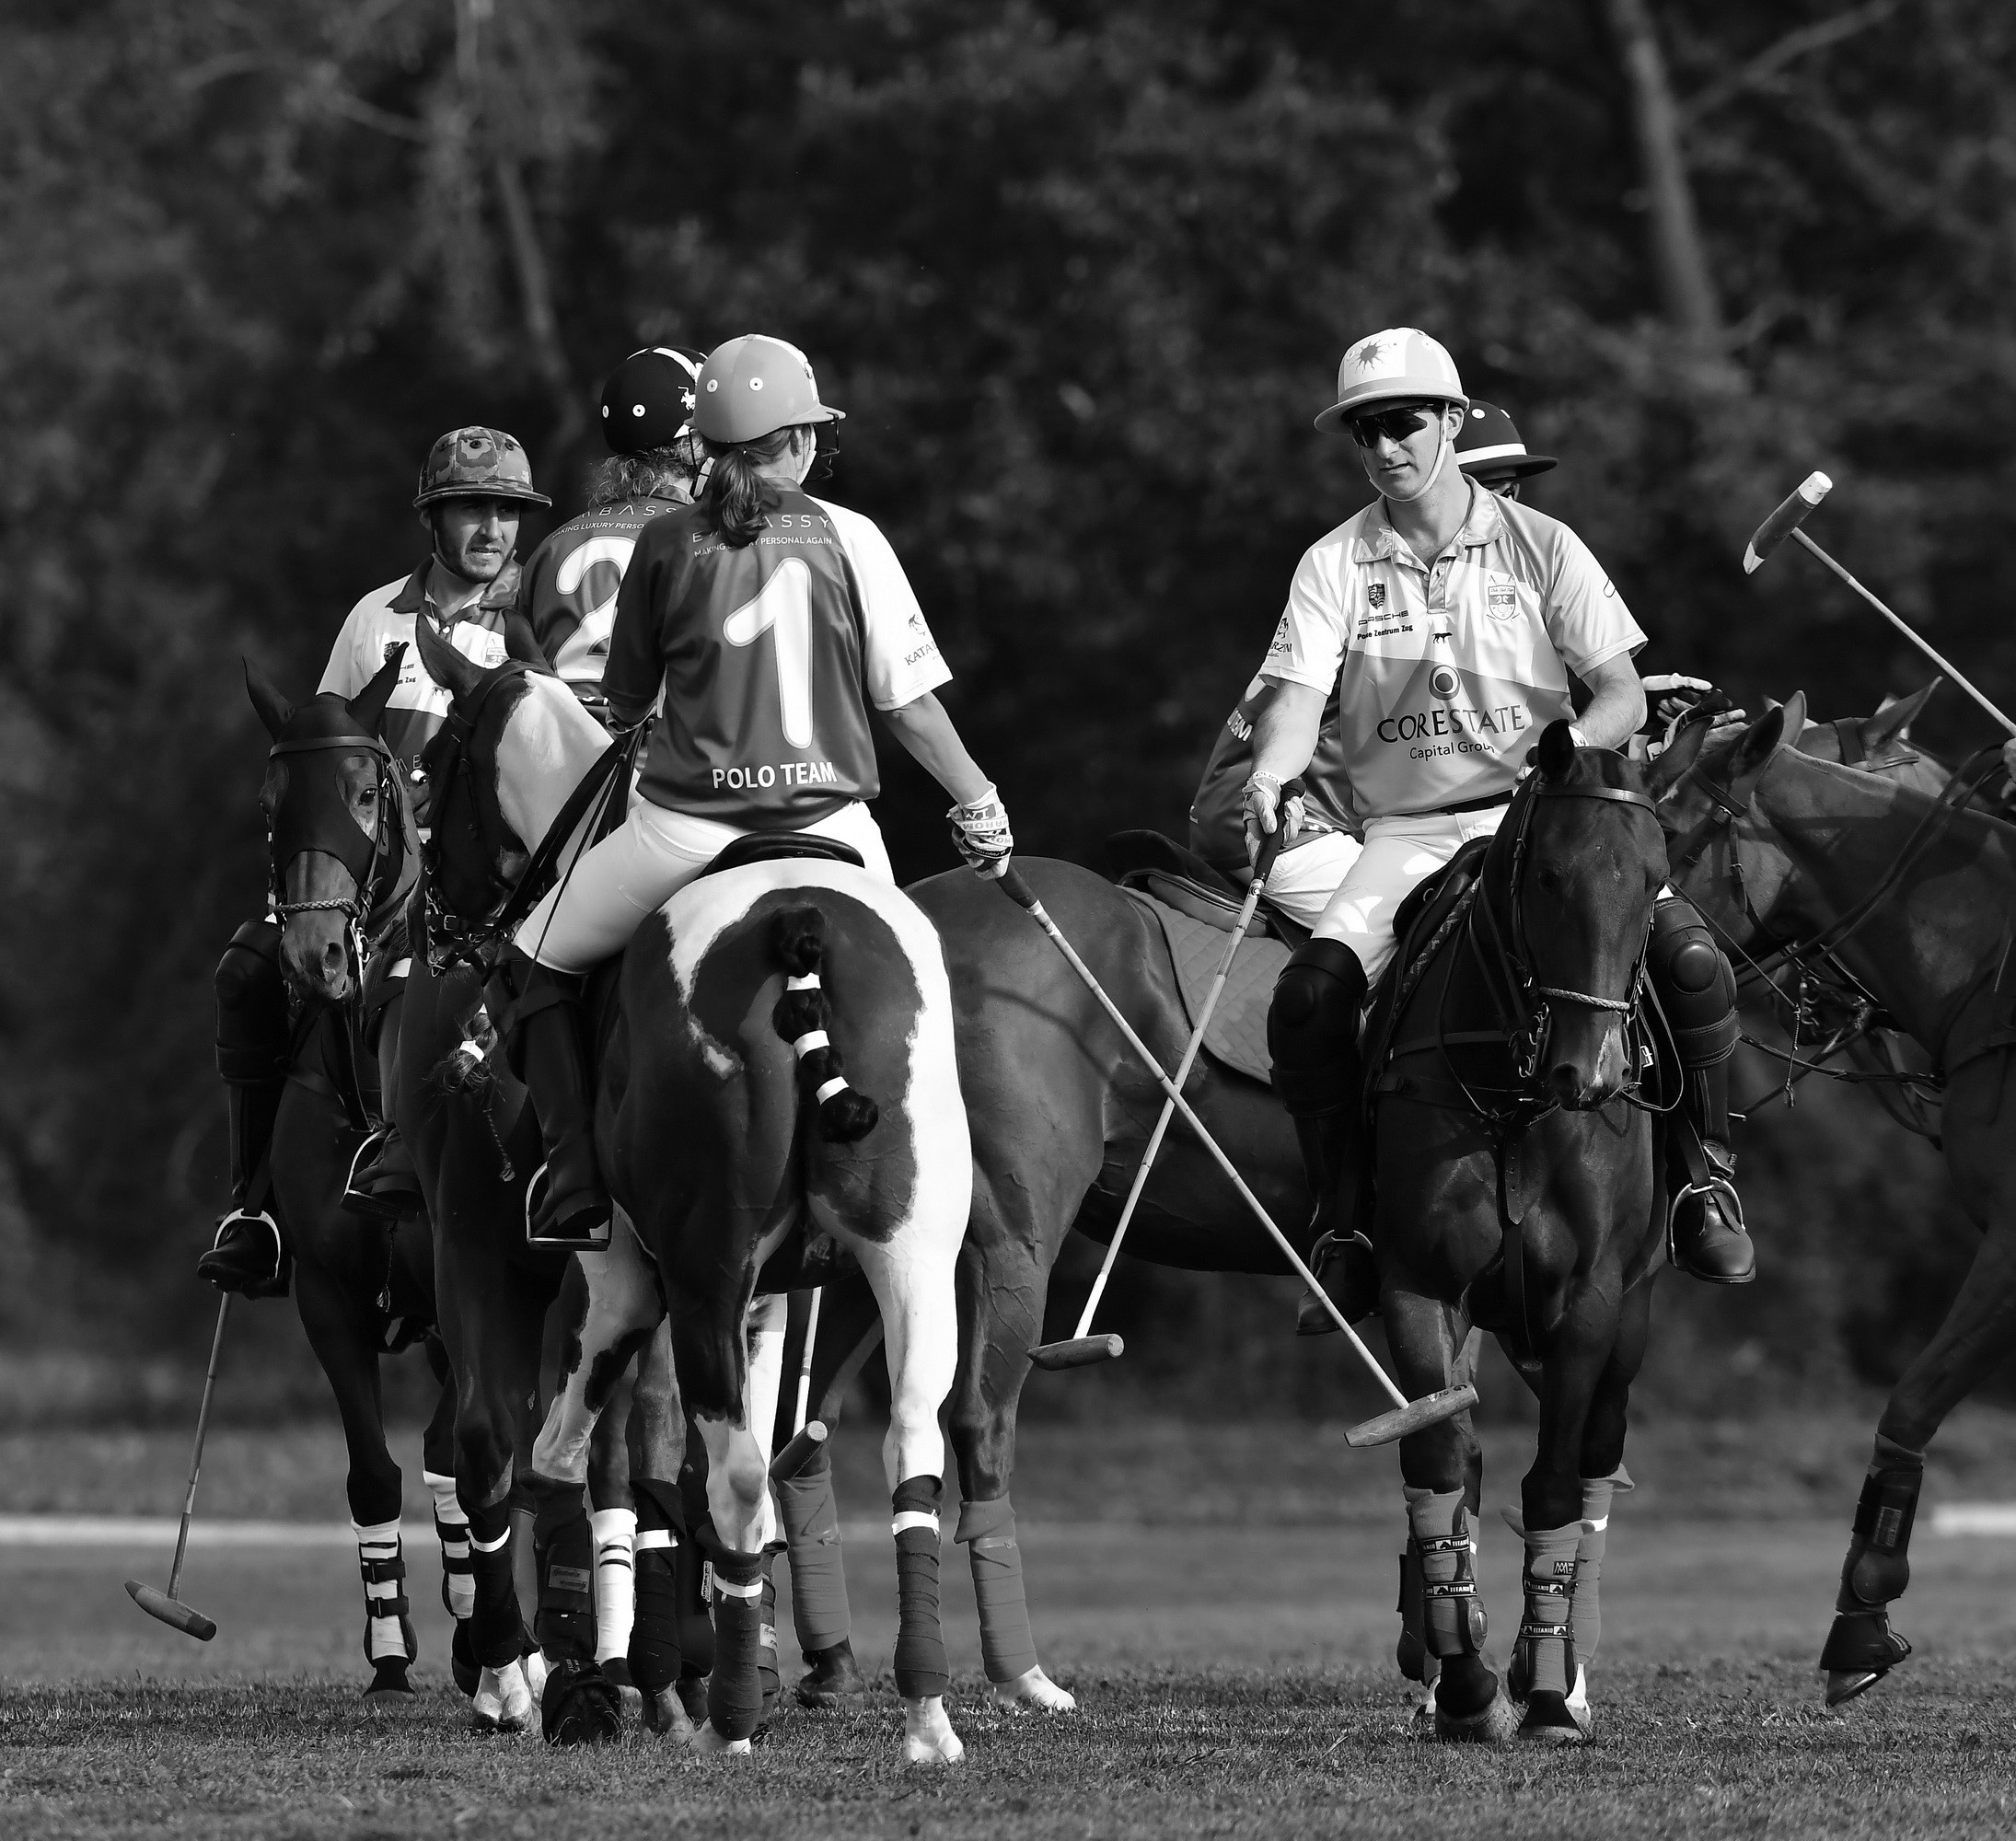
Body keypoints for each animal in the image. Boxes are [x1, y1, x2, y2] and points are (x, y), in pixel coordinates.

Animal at [410, 615, 970, 1764]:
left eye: (436, 762)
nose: (435, 925)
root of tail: (799, 924)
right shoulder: (738, 1292)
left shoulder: (552, 1261)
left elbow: (542, 1454)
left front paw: (554, 1679)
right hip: (911, 1251)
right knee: (908, 1447)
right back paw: (925, 1714)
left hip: (689, 1263)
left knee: (704, 1470)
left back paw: (717, 1719)